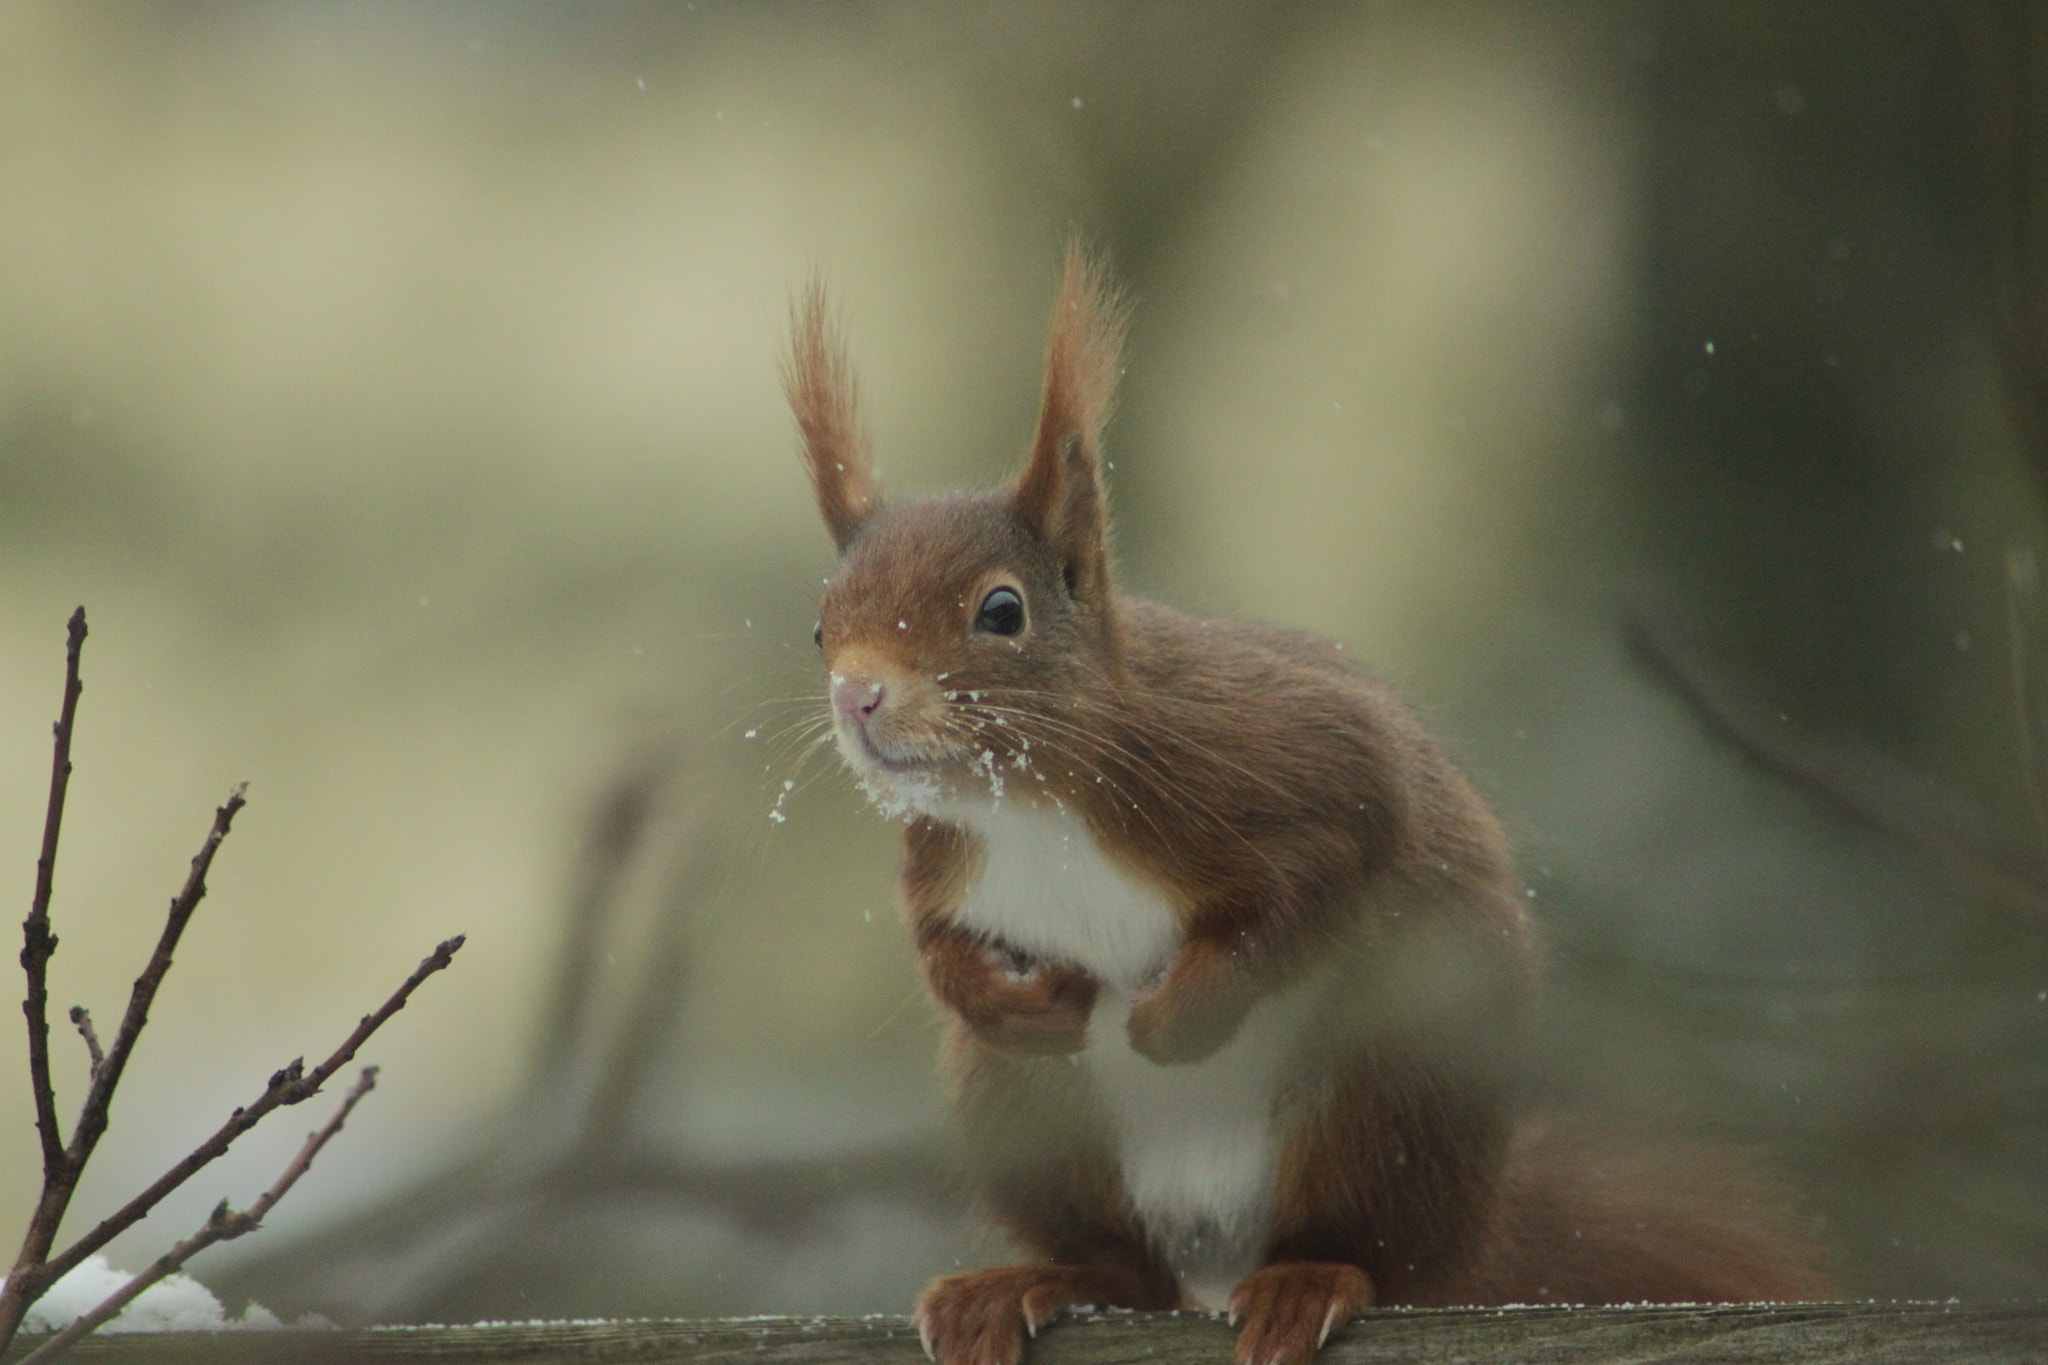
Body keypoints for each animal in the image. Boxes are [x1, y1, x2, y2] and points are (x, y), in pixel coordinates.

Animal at [783, 246, 1830, 1365]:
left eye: (1000, 611)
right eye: (821, 626)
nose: (858, 695)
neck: (1028, 799)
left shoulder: (1281, 765)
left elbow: (1320, 871)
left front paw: (1174, 1019)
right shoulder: (944, 857)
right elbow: (935, 939)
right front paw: (1007, 998)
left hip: (1385, 1084)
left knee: (1372, 1252)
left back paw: (1308, 1279)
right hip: (1028, 1113)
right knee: (1124, 1272)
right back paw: (1028, 1281)